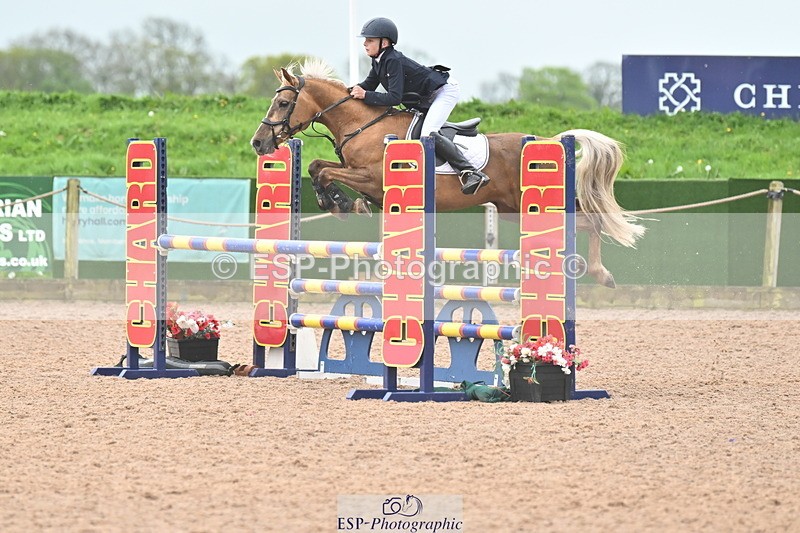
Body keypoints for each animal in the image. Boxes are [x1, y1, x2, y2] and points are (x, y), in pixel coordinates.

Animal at [250, 60, 645, 288]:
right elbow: (318, 168)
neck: (362, 125)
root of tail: (549, 142)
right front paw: (340, 203)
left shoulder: (373, 177)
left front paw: (342, 203)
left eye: (283, 103)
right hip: (511, 210)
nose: (258, 142)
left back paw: (601, 274)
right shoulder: (355, 171)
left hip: (528, 205)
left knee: (592, 221)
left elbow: (327, 174)